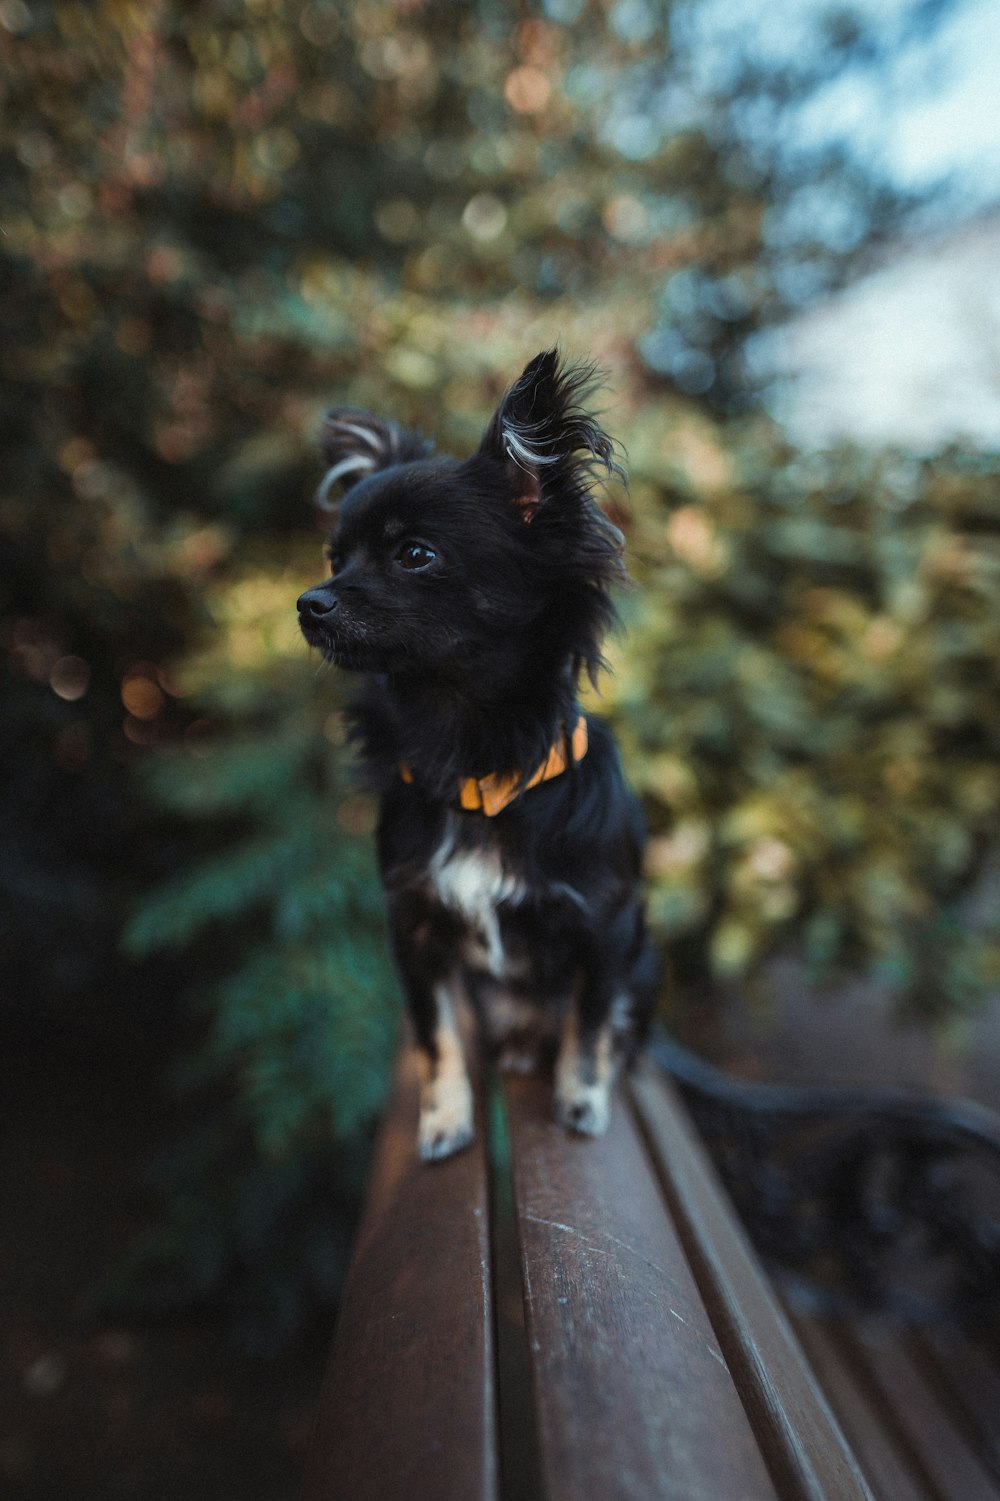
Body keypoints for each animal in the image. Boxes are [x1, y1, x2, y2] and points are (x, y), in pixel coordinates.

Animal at [295, 351, 654, 1158]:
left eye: (414, 554)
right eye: (335, 557)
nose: (309, 602)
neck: (470, 762)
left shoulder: (605, 927)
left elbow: (591, 1019)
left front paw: (582, 1096)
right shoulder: (414, 931)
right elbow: (435, 1036)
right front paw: (444, 1118)